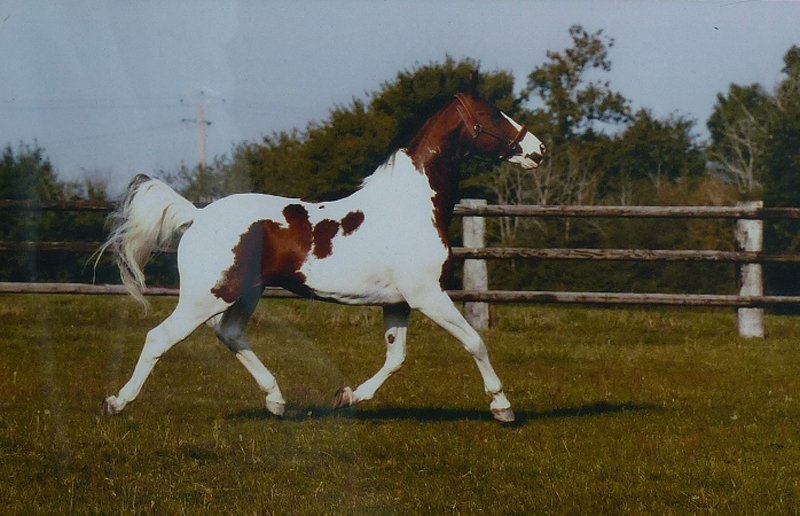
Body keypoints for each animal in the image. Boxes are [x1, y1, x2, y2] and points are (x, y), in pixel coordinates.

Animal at [99, 79, 545, 423]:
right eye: (492, 115)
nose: (538, 150)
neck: (411, 206)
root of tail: (198, 216)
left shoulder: (398, 302)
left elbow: (396, 357)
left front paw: (347, 396)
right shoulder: (428, 296)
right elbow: (475, 342)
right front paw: (502, 407)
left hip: (246, 293)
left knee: (230, 333)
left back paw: (277, 401)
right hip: (206, 297)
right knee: (160, 337)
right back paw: (116, 403)